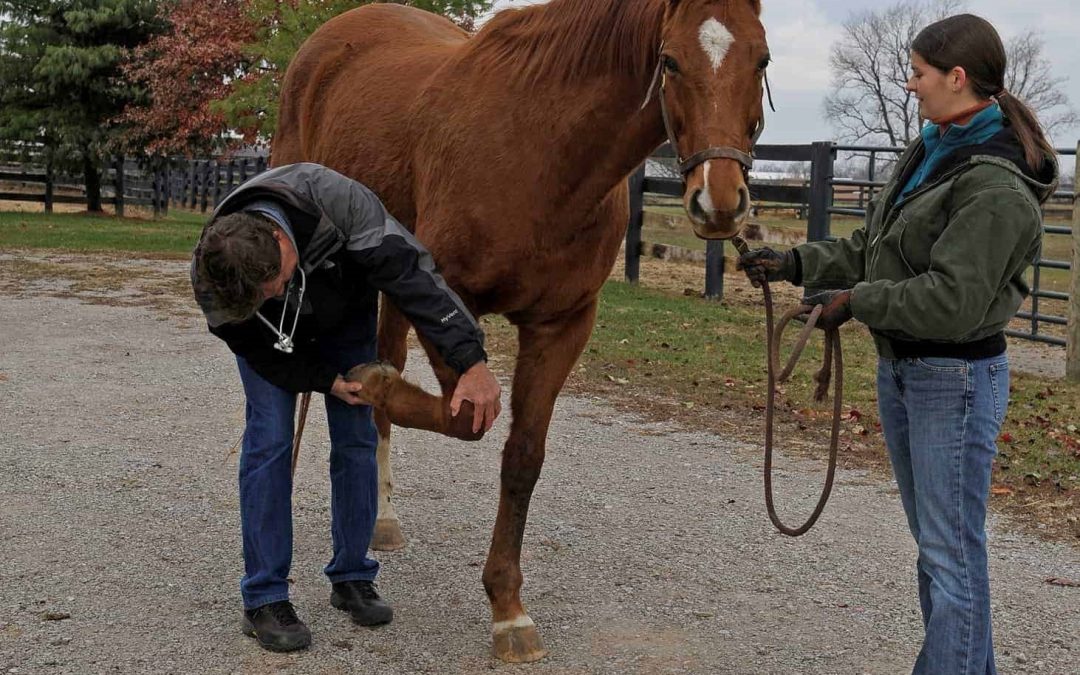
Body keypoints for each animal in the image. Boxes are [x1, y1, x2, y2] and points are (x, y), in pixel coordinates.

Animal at [276, 0, 768, 665]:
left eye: (761, 59)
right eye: (669, 61)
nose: (719, 202)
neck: (545, 155)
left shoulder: (561, 326)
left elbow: (522, 457)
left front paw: (508, 608)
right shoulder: (451, 300)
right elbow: (463, 417)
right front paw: (372, 386)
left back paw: (382, 515)